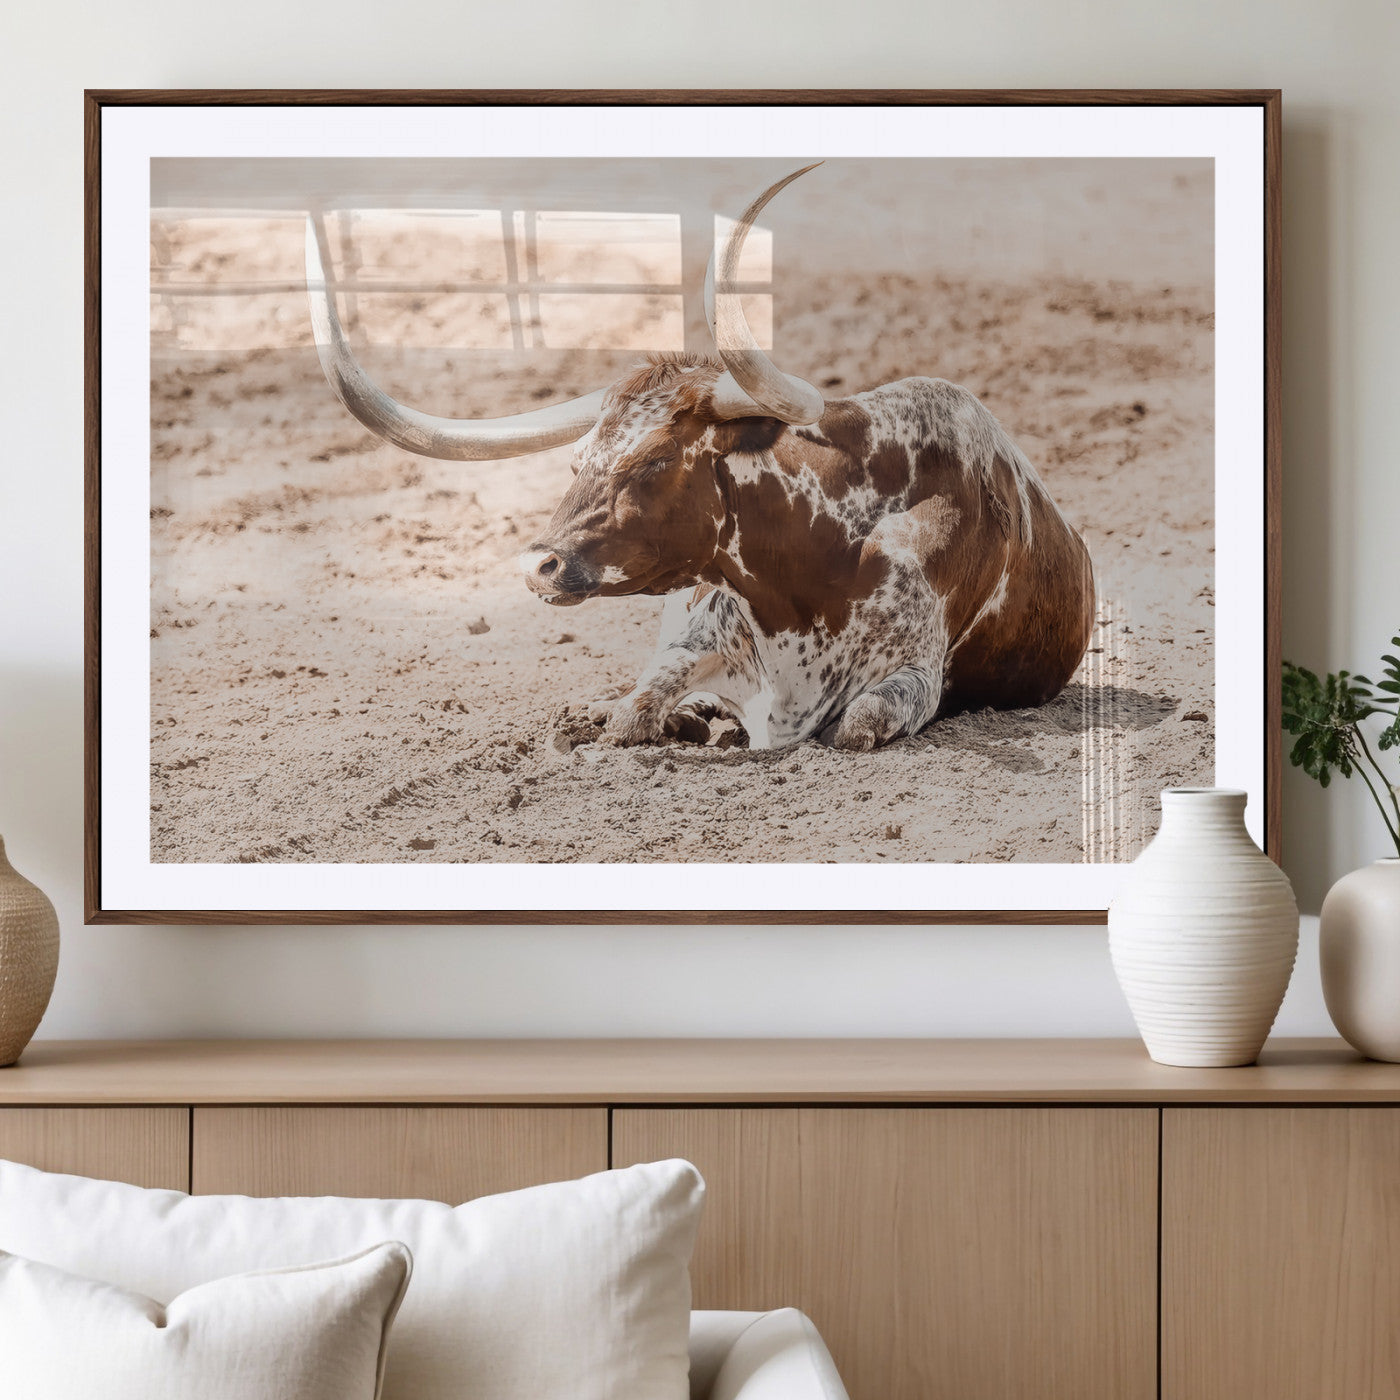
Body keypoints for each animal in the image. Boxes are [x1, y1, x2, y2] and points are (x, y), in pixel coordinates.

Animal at [305, 165, 1095, 751]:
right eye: (577, 461)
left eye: (655, 463)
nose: (540, 566)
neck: (812, 571)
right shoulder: (691, 637)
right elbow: (632, 713)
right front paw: (668, 719)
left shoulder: (913, 678)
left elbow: (854, 726)